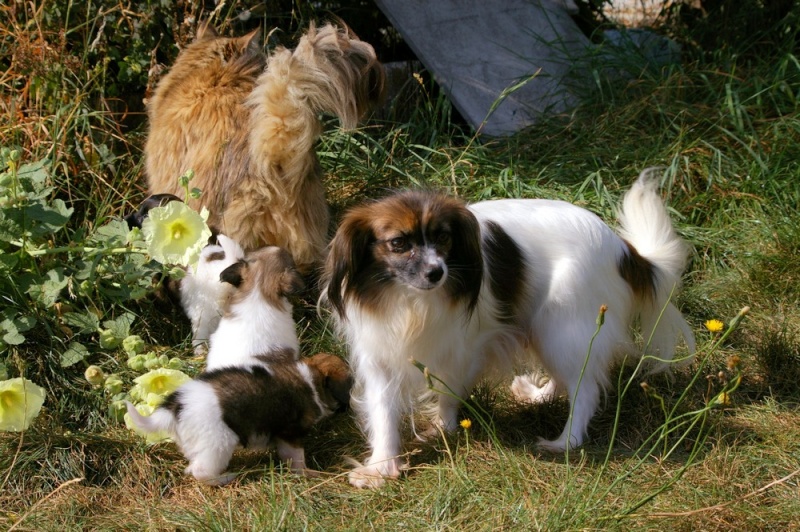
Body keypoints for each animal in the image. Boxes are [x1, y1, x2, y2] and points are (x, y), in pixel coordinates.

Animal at [126, 247, 352, 484]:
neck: (258, 292)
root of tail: (174, 407)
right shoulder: (290, 432)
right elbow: (295, 455)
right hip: (217, 446)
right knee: (199, 471)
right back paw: (226, 477)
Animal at [322, 172, 696, 488]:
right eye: (398, 243)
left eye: (443, 238)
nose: (436, 272)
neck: (411, 301)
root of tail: (622, 249)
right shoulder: (380, 354)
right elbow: (383, 411)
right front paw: (382, 467)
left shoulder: (465, 349)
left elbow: (448, 392)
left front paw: (444, 428)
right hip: (545, 329)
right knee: (567, 377)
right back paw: (538, 395)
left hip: (560, 325)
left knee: (585, 388)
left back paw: (565, 442)